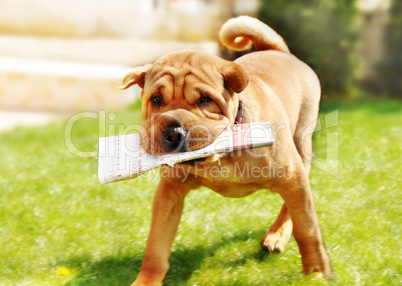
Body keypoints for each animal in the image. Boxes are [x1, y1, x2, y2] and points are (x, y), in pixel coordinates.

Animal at [121, 16, 332, 286]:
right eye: (156, 100)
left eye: (204, 99)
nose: (173, 132)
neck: (222, 154)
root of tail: (280, 51)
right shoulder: (169, 191)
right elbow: (156, 245)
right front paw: (146, 280)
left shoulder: (292, 175)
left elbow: (308, 230)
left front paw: (317, 272)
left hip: (302, 146)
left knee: (293, 207)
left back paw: (276, 236)